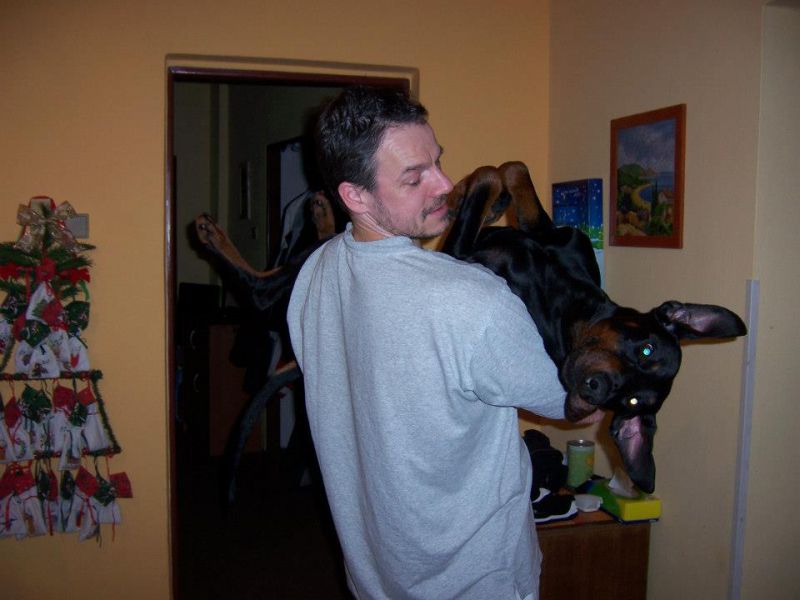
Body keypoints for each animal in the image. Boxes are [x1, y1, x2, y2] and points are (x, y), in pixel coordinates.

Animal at [195, 161, 746, 498]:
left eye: (631, 403)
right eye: (648, 349)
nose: (593, 390)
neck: (572, 306)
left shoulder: (459, 255)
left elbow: (484, 186)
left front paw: (471, 189)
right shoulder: (555, 236)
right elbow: (516, 178)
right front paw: (477, 192)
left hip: (294, 280)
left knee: (266, 287)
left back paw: (227, 232)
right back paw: (323, 209)